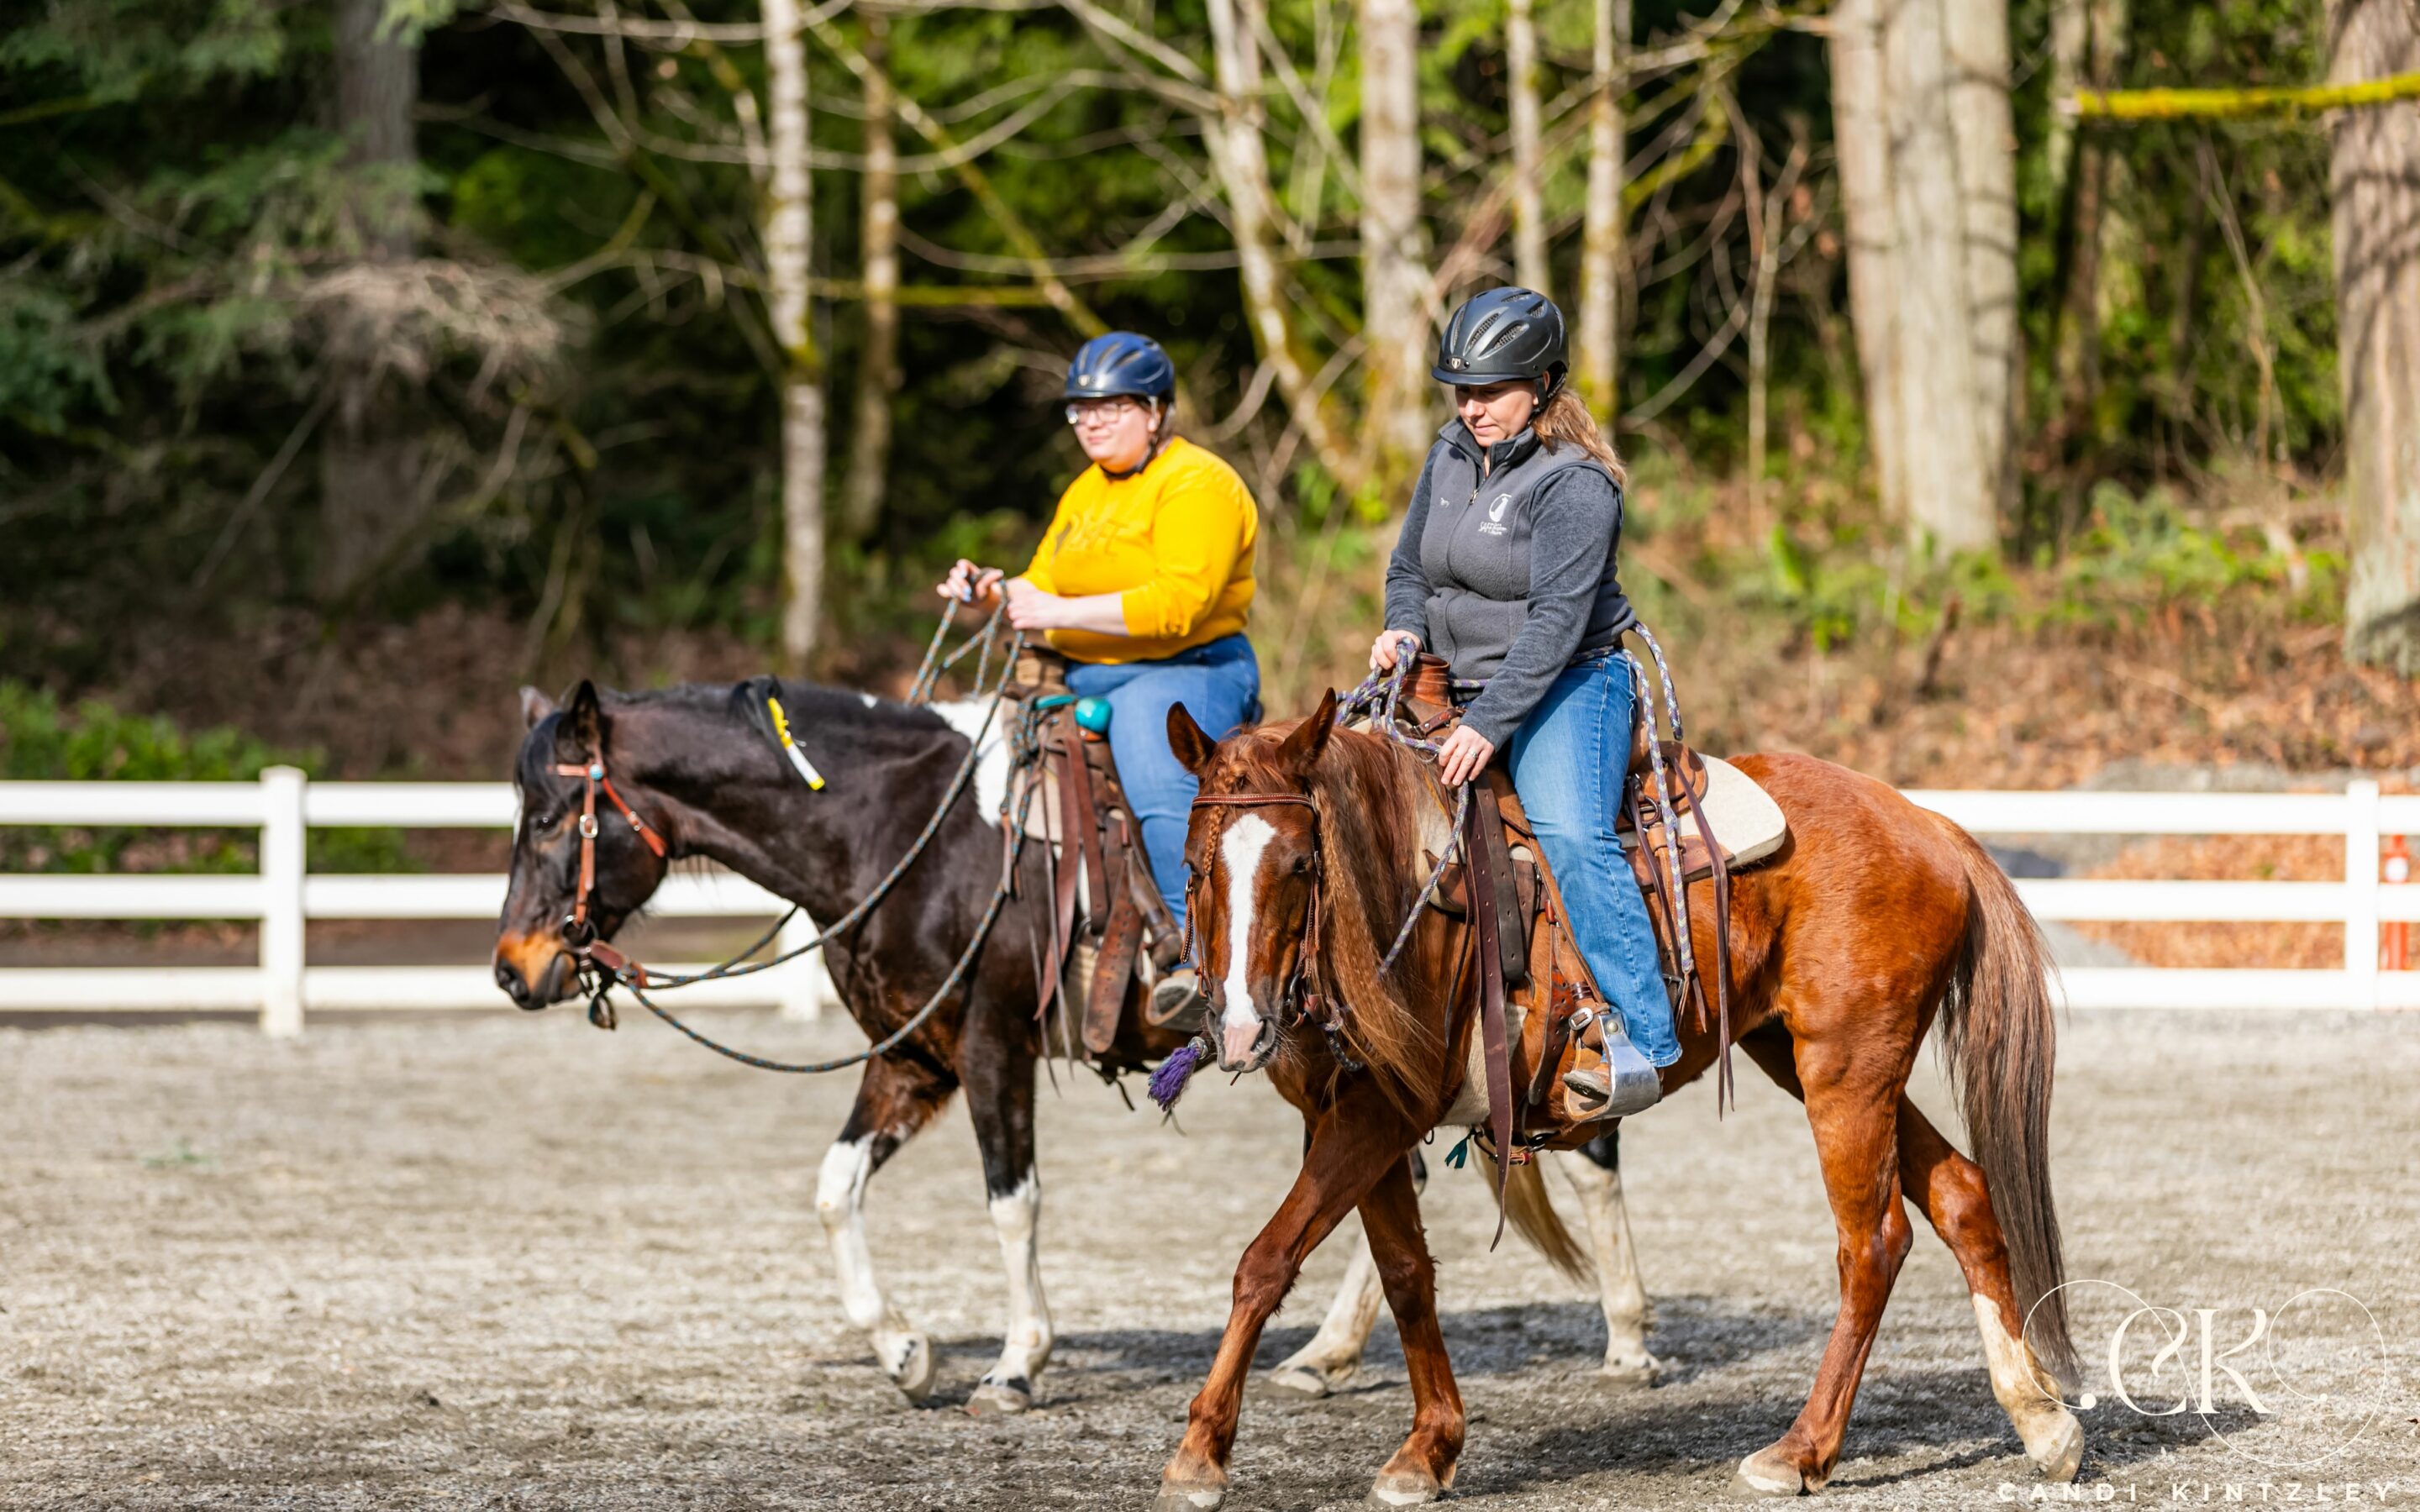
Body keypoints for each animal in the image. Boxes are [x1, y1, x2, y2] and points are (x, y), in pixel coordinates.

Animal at [491, 682, 1665, 1412]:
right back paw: (1323, 1357)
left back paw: (1629, 1343)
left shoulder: (992, 1048)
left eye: (551, 819)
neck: (907, 830)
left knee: (1589, 1152)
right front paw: (904, 1350)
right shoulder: (911, 1058)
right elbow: (833, 1191)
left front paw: (1015, 1365)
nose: (512, 969)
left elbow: (1012, 1202)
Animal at [1151, 686, 2081, 1509]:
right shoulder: (1356, 1113)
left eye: (1301, 863)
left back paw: (1800, 1451)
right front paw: (1428, 1450)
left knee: (1873, 1242)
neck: (1406, 893)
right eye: (1194, 869)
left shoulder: (1378, 1116)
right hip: (1801, 1053)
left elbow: (1267, 1260)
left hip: (1846, 1069)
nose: (1239, 1027)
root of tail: (1925, 823)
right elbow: (1407, 1272)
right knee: (1961, 1195)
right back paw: (2043, 1423)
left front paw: (1199, 1457)